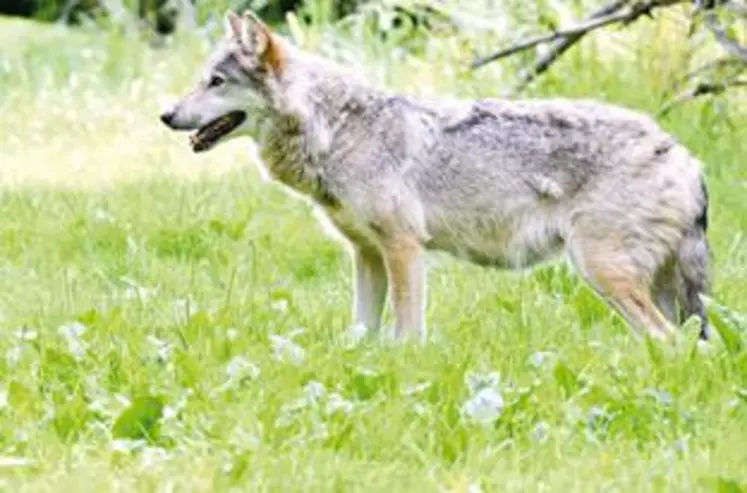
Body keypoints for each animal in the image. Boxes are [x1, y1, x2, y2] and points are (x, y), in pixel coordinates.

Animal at [159, 10, 712, 342]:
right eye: (201, 79)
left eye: (216, 82)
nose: (165, 115)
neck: (336, 131)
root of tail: (685, 155)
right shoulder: (366, 255)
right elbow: (360, 332)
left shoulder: (404, 247)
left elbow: (406, 331)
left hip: (602, 272)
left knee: (668, 341)